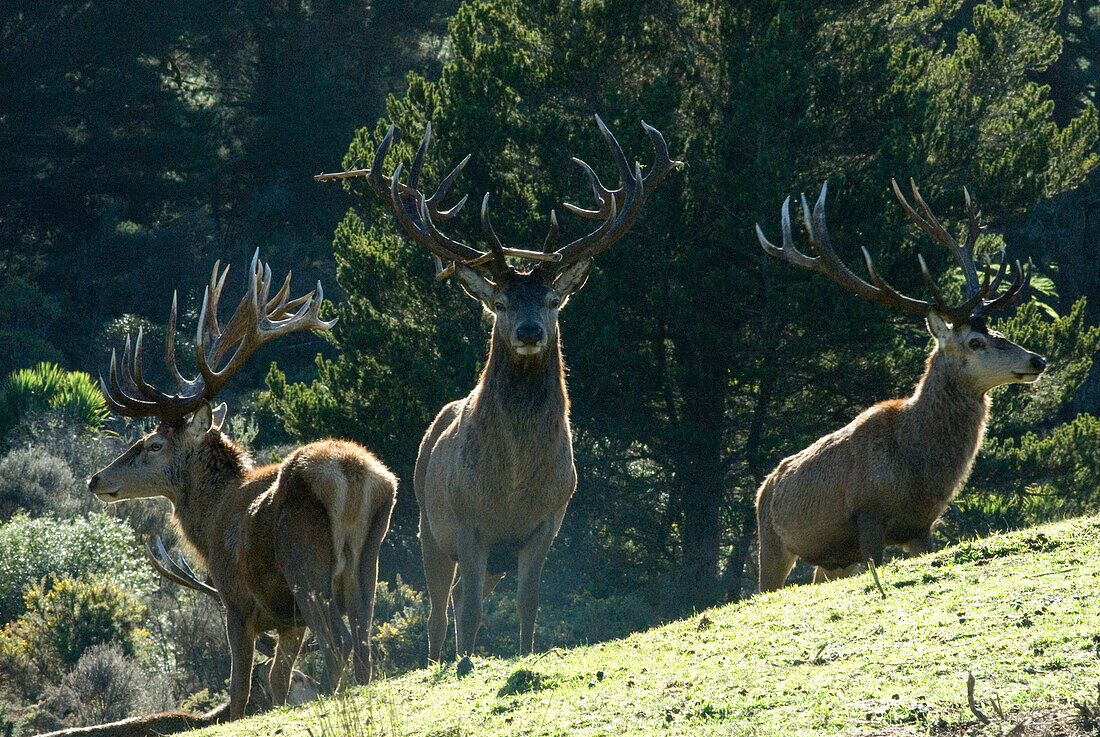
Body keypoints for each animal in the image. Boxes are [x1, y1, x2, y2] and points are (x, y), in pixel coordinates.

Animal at [84, 255, 396, 721]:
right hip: (368, 562)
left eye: (154, 444)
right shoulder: (287, 621)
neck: (211, 518)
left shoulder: (236, 599)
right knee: (363, 646)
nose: (96, 479)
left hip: (306, 562)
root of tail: (353, 476)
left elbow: (239, 691)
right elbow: (278, 682)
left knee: (338, 644)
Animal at [314, 113, 682, 668]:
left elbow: (529, 603)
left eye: (552, 299)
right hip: (427, 526)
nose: (529, 330)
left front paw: (525, 654)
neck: (512, 486)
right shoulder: (468, 522)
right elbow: (466, 611)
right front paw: (463, 664)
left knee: (463, 598)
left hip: (488, 557)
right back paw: (438, 660)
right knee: (439, 609)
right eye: (503, 302)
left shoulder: (547, 521)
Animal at [756, 181, 1047, 598]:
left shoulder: (921, 527)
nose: (1037, 360)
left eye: (998, 330)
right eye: (975, 342)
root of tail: (764, 488)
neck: (917, 468)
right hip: (772, 542)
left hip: (833, 560)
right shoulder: (867, 515)